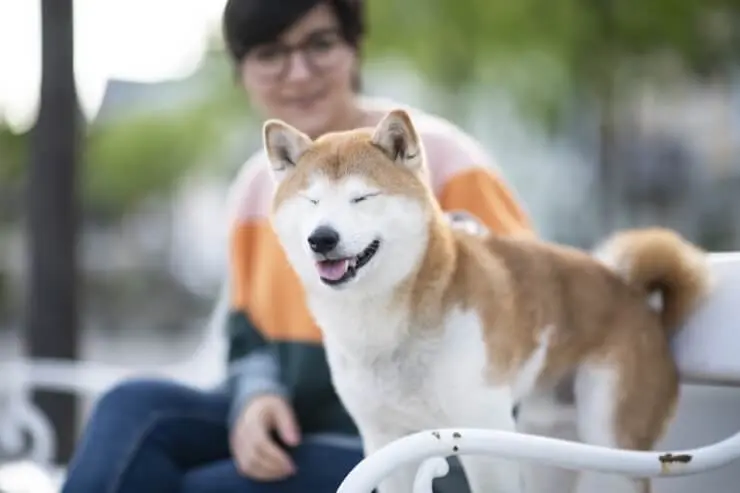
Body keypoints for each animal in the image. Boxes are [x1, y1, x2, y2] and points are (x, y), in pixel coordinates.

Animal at [264, 108, 712, 492]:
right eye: (311, 201)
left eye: (363, 198)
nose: (322, 238)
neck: (387, 321)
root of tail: (639, 301)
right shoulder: (384, 441)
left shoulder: (483, 436)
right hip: (546, 446)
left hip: (611, 446)